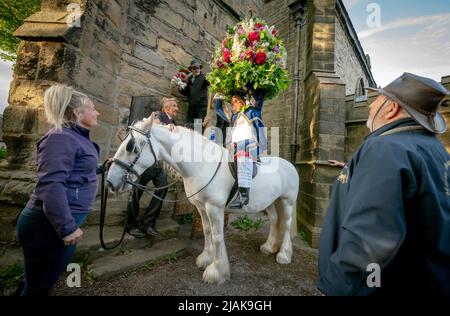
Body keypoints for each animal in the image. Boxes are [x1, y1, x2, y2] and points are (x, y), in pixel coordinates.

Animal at [106, 119, 298, 284]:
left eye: (131, 147)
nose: (109, 182)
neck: (203, 166)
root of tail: (290, 165)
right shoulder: (201, 207)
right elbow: (206, 231)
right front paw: (206, 259)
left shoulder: (215, 208)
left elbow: (217, 236)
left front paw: (216, 272)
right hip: (271, 202)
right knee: (274, 220)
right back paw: (269, 247)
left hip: (287, 201)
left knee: (286, 224)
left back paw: (283, 255)